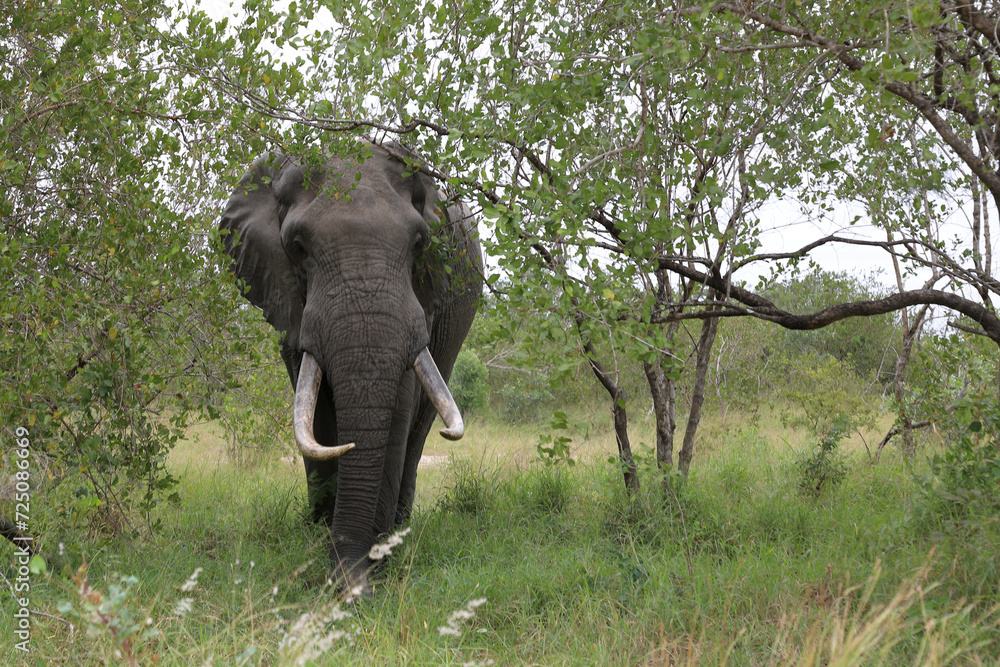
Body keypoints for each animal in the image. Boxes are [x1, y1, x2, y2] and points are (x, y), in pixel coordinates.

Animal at [219, 141, 482, 593]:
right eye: (297, 247)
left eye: (420, 243)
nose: (351, 584)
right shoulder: (288, 299)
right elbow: (314, 410)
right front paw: (320, 534)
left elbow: (399, 406)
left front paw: (375, 556)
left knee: (423, 422)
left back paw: (400, 524)